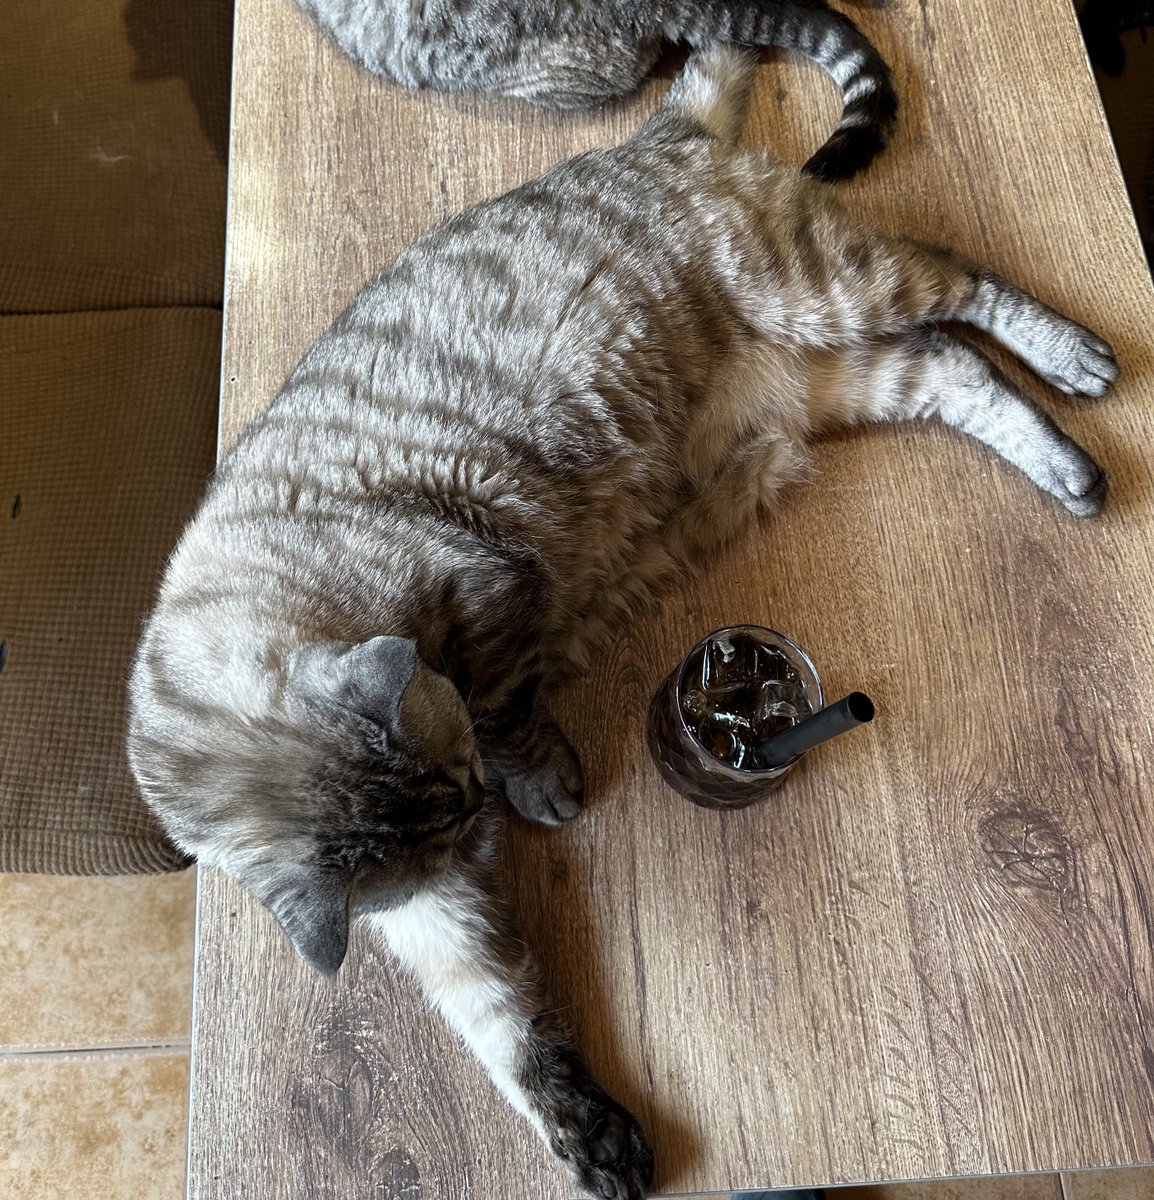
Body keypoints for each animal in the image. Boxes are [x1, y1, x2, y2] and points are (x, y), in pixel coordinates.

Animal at [127, 44, 1118, 1200]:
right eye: (451, 830)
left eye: (467, 795)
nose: (483, 825)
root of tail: (653, 134)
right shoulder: (430, 913)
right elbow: (509, 1029)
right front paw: (588, 1136)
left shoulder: (484, 595)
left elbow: (510, 714)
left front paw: (541, 780)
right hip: (832, 372)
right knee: (953, 367)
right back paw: (1065, 466)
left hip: (820, 283)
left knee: (963, 286)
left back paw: (1074, 364)